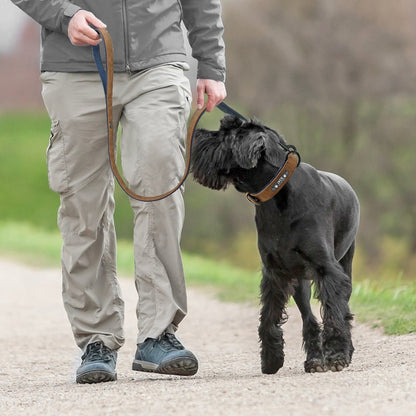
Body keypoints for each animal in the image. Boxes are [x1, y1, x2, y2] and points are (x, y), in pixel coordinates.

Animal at [192, 115, 360, 376]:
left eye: (226, 134)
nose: (196, 134)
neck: (277, 194)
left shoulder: (328, 270)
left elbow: (335, 314)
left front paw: (338, 356)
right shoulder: (274, 272)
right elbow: (269, 317)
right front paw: (271, 359)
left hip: (345, 266)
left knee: (342, 311)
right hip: (300, 282)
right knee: (309, 320)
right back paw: (314, 359)